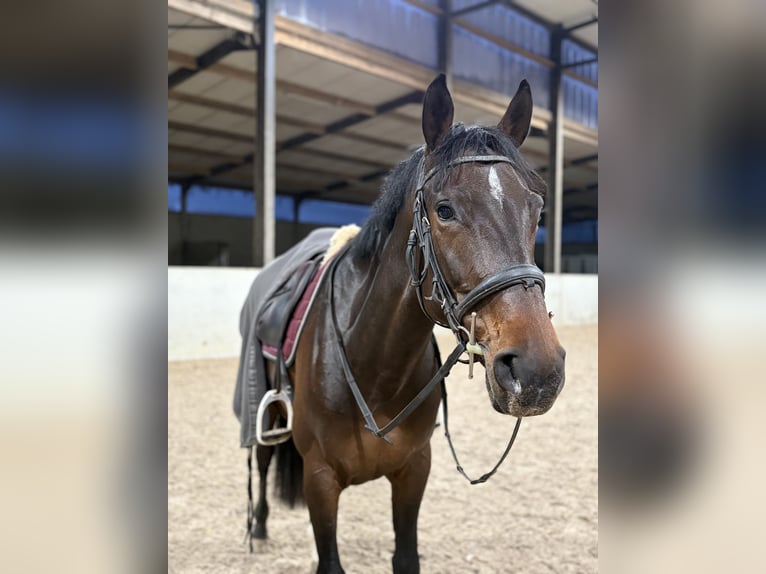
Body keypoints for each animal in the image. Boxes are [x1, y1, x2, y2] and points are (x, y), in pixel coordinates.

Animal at [249, 74, 565, 574]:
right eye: (444, 209)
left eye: (536, 210)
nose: (537, 371)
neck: (374, 364)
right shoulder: (320, 479)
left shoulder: (414, 470)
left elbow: (406, 556)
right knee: (261, 460)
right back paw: (259, 528)